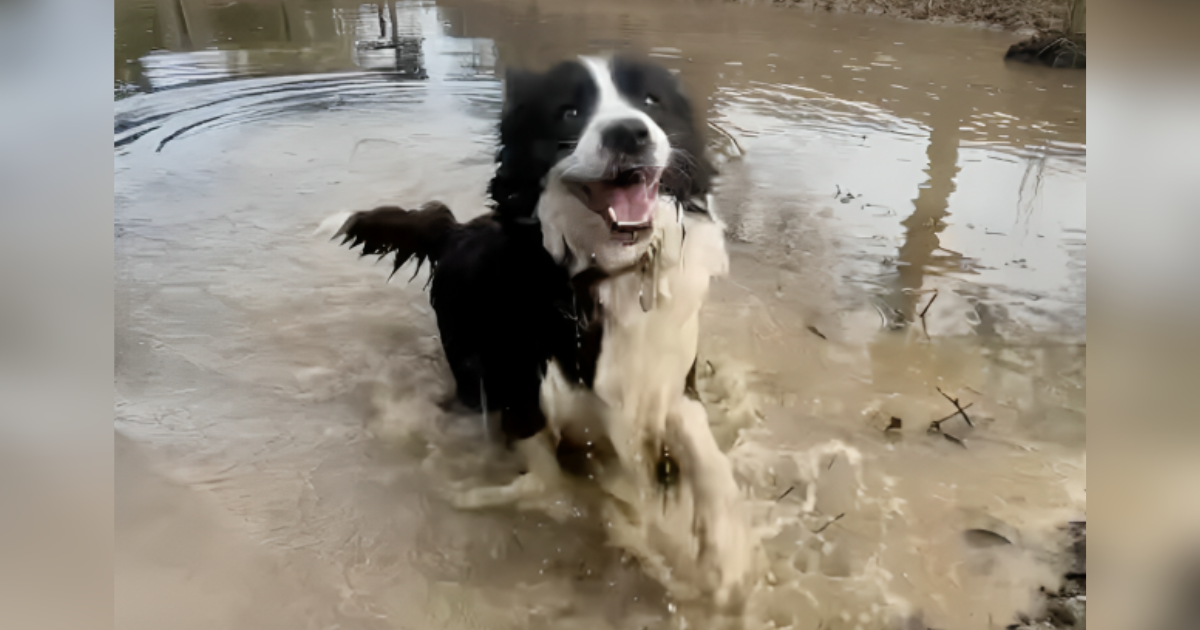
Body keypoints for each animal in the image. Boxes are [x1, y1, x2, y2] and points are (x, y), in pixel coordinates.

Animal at [326, 55, 758, 609]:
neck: (604, 275)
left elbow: (703, 449)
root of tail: (455, 228)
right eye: (568, 111)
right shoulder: (519, 391)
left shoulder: (668, 377)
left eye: (650, 101)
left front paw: (724, 550)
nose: (629, 133)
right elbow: (551, 482)